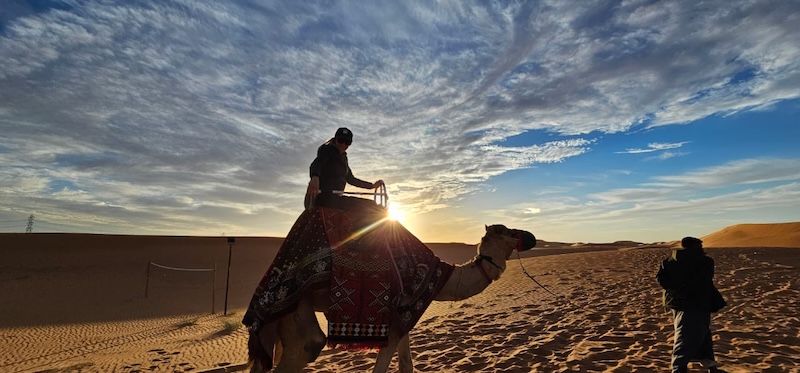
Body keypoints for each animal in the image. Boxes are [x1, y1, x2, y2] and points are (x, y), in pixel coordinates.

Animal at [247, 222, 536, 370]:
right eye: (509, 231)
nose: (532, 237)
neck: (441, 277)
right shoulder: (394, 321)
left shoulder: (403, 318)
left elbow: (407, 365)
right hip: (296, 305)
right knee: (310, 343)